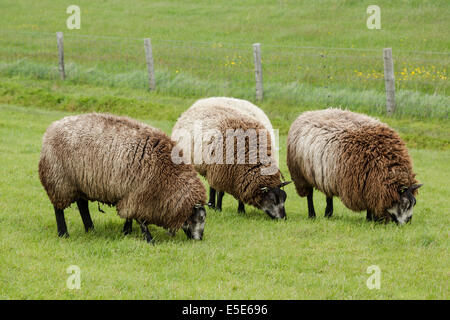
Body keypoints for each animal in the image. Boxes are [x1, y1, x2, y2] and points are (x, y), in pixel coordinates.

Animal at [38, 113, 207, 242]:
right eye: (199, 219)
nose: (199, 239)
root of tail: (52, 127)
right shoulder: (139, 194)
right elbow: (140, 219)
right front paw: (148, 239)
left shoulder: (131, 193)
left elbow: (129, 216)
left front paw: (127, 232)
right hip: (59, 179)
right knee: (59, 208)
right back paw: (63, 233)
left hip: (80, 181)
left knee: (82, 204)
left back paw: (90, 229)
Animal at [288, 109, 422, 224]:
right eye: (404, 204)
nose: (408, 222)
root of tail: (306, 113)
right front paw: (370, 219)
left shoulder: (369, 185)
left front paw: (371, 219)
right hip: (301, 175)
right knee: (309, 195)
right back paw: (312, 215)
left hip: (327, 175)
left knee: (328, 195)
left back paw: (328, 214)